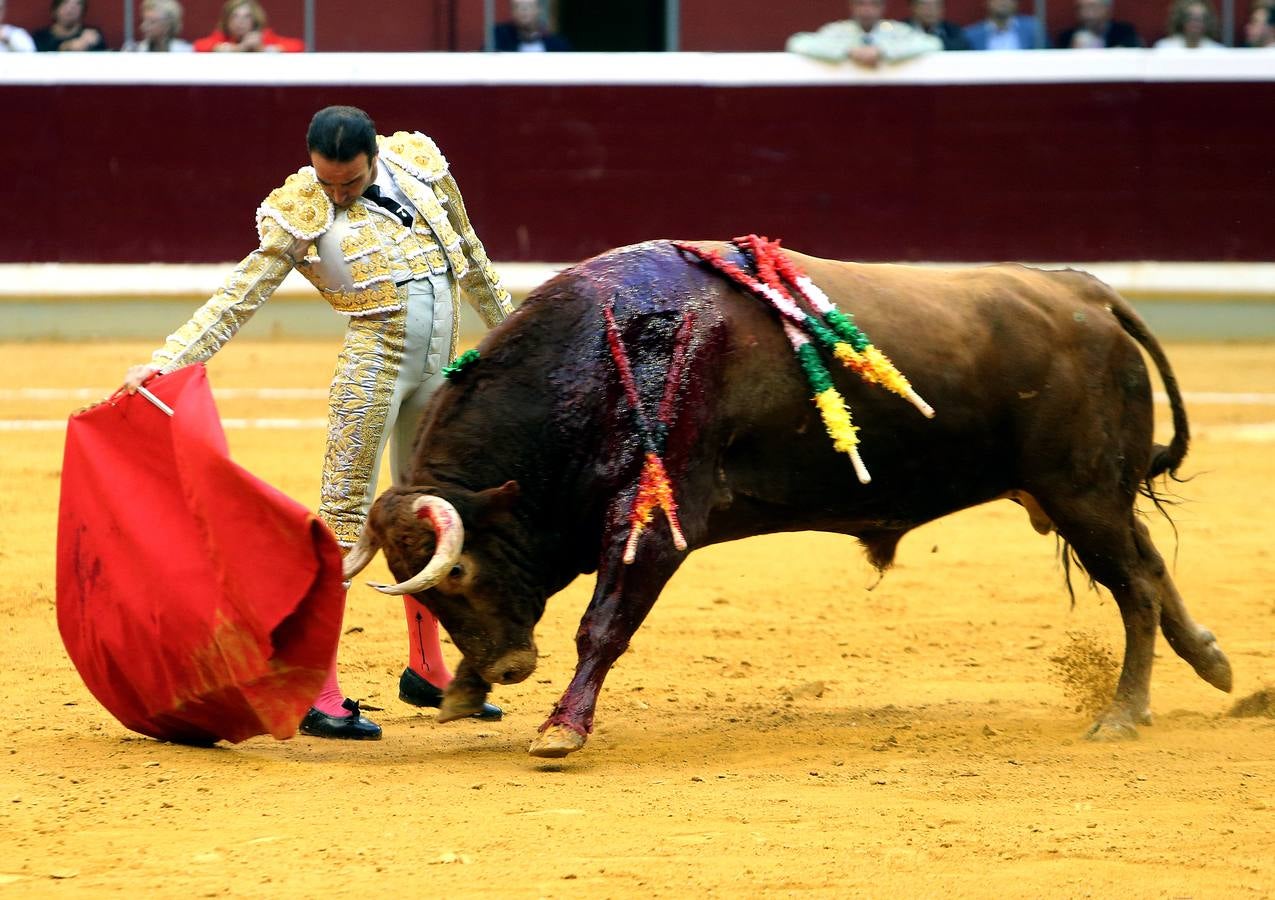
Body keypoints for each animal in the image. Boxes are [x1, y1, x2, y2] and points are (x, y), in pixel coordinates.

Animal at [344, 239, 1229, 754]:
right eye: (430, 590)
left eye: (458, 574)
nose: (509, 665)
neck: (601, 355)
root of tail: (1085, 294)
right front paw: (464, 691)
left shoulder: (655, 524)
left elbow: (604, 624)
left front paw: (561, 728)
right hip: (1090, 495)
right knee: (1150, 566)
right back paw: (1212, 662)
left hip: (1081, 491)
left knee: (1134, 585)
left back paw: (1122, 713)